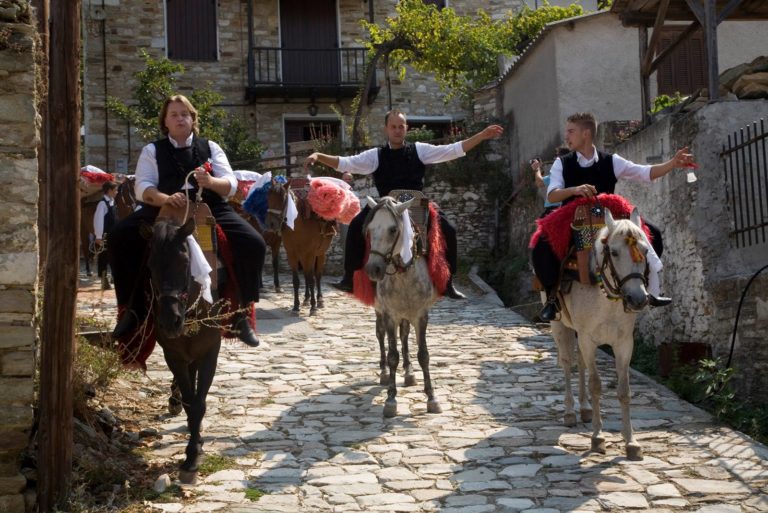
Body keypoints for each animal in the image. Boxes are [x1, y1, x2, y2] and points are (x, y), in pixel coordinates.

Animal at [266, 180, 334, 316]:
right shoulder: (292, 254)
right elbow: (296, 280)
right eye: (268, 196)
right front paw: (296, 306)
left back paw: (319, 300)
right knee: (306, 276)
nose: (271, 224)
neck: (297, 226)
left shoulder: (310, 254)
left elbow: (312, 278)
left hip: (320, 254)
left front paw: (313, 307)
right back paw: (306, 299)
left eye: (283, 199)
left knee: (317, 275)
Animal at [364, 195, 440, 416]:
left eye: (392, 230)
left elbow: (423, 355)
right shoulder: (390, 315)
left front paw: (431, 397)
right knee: (381, 335)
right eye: (370, 229)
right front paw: (391, 399)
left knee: (404, 335)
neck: (403, 274)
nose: (373, 269)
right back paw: (384, 372)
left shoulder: (421, 315)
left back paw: (408, 371)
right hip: (380, 311)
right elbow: (392, 356)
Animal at [548, 208, 652, 460]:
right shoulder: (588, 339)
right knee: (568, 364)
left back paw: (585, 409)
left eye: (645, 250)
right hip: (560, 327)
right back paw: (570, 412)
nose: (638, 299)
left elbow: (624, 390)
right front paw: (597, 438)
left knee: (581, 363)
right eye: (613, 252)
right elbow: (596, 385)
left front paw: (631, 442)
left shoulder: (624, 344)